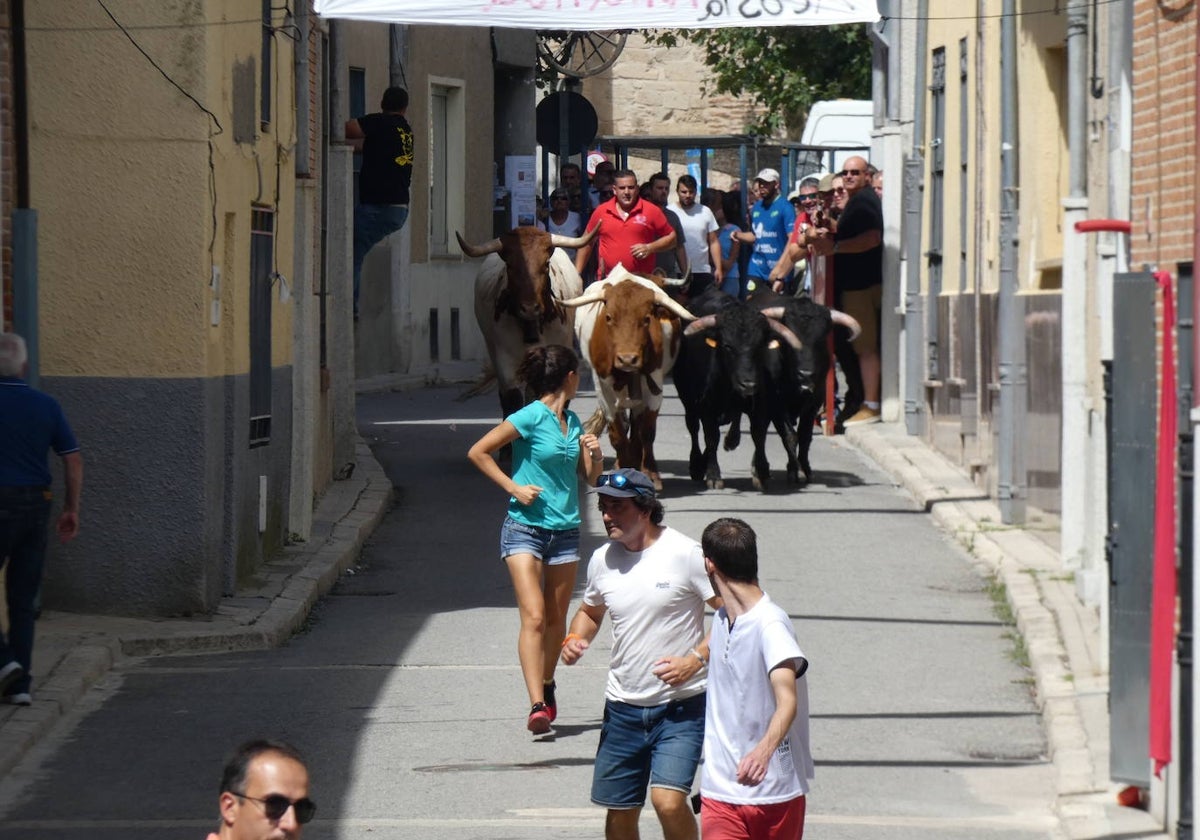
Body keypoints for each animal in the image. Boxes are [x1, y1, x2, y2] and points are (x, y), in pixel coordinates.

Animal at [559, 267, 696, 492]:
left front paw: (649, 473)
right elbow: (617, 433)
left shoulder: (654, 385)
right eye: (608, 317)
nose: (627, 359)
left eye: (647, 318)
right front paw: (622, 467)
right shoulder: (603, 389)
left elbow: (646, 431)